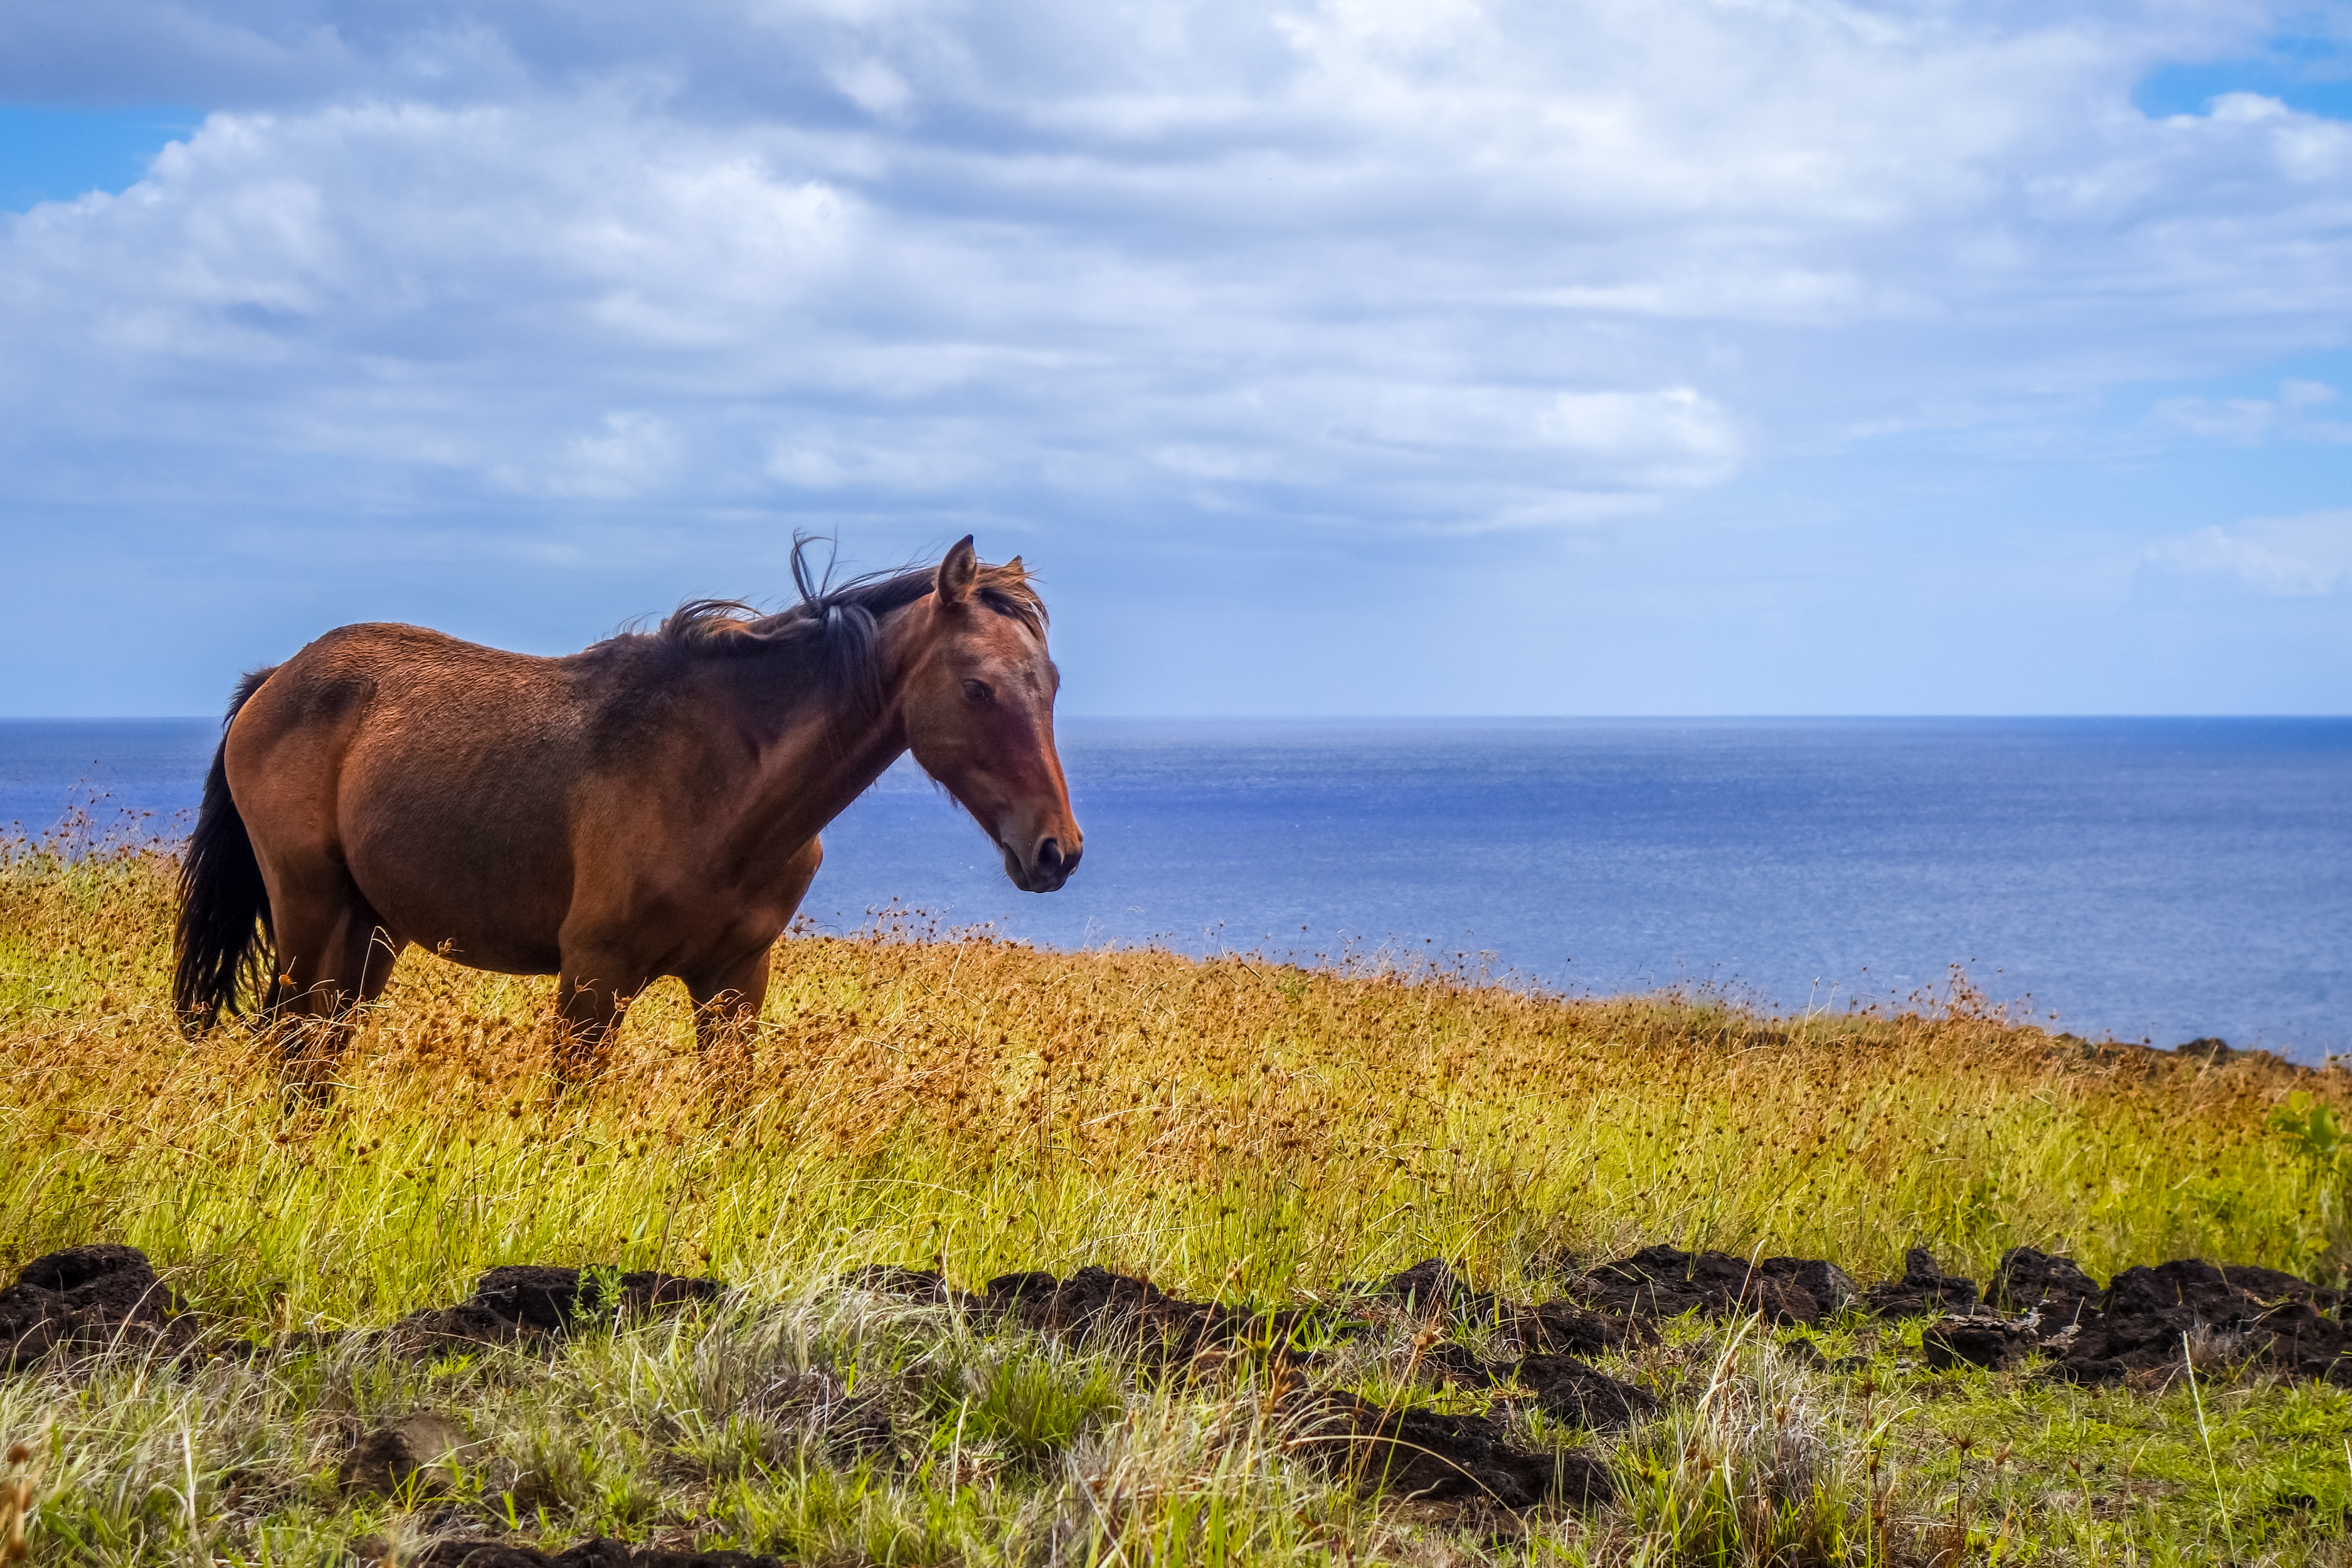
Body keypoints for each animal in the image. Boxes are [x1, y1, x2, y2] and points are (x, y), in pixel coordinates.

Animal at [171, 536, 1080, 1085]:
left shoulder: (735, 982)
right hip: (311, 916)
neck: (724, 788)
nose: (1056, 852)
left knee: (319, 1056)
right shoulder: (593, 980)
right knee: (296, 1049)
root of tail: (277, 682)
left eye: (1052, 683)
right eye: (978, 688)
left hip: (371, 933)